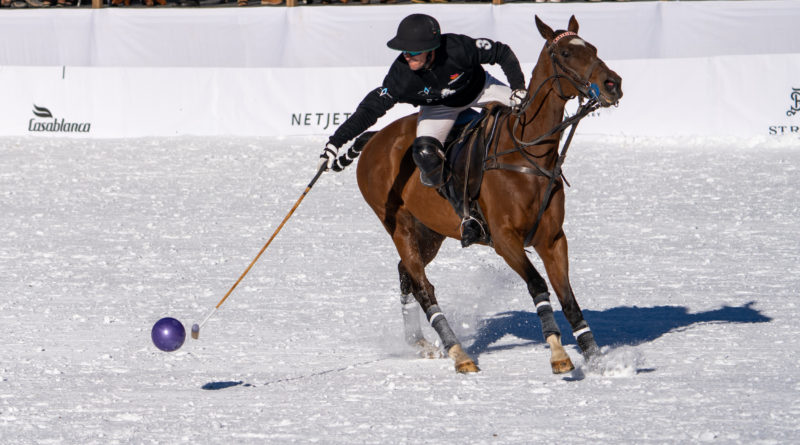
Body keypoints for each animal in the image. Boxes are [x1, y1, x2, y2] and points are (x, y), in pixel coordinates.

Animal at [354, 15, 620, 372]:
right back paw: (459, 353)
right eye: (564, 53)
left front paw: (598, 360)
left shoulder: (553, 238)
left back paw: (419, 342)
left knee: (405, 272)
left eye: (592, 48)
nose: (613, 84)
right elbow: (538, 285)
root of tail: (374, 139)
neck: (527, 152)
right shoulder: (505, 239)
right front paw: (559, 354)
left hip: (430, 231)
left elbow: (568, 299)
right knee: (424, 286)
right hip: (399, 226)